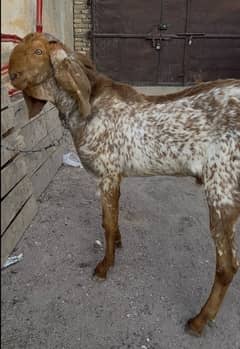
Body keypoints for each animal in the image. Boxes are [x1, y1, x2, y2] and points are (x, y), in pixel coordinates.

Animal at [8, 32, 239, 334]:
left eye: (38, 51)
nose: (11, 75)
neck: (87, 104)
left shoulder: (107, 173)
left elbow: (106, 224)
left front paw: (105, 266)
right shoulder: (115, 176)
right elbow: (112, 218)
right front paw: (117, 244)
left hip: (222, 191)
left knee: (227, 266)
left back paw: (200, 320)